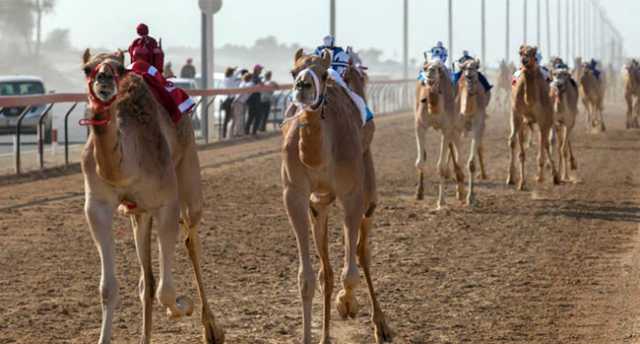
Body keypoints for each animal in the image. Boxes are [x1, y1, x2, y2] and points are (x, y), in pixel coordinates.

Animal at [79, 49, 222, 344]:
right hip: (139, 213)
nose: (104, 79)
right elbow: (109, 288)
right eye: (87, 68)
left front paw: (183, 305)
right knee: (147, 279)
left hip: (188, 173)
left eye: (120, 68)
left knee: (192, 241)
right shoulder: (97, 208)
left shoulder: (166, 202)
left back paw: (212, 329)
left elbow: (166, 292)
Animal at [282, 47, 392, 342]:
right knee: (326, 273)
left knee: (362, 252)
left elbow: (351, 271)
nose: (303, 86)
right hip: (319, 203)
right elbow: (307, 279)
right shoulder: (294, 194)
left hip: (368, 187)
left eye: (321, 74)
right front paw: (309, 337)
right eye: (293, 72)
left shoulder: (351, 193)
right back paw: (325, 335)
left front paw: (348, 304)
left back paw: (381, 326)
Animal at [416, 57, 464, 207]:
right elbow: (420, 161)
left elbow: (441, 166)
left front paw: (441, 201)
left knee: (458, 157)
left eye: (438, 69)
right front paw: (419, 193)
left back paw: (463, 192)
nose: (429, 71)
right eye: (425, 67)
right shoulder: (419, 125)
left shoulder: (446, 128)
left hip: (455, 126)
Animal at [508, 44, 556, 189]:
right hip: (517, 118)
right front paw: (521, 183)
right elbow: (521, 153)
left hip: (548, 118)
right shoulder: (518, 116)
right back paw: (510, 178)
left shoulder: (543, 119)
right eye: (520, 52)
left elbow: (544, 145)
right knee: (512, 140)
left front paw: (543, 177)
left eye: (533, 52)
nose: (525, 60)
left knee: (546, 142)